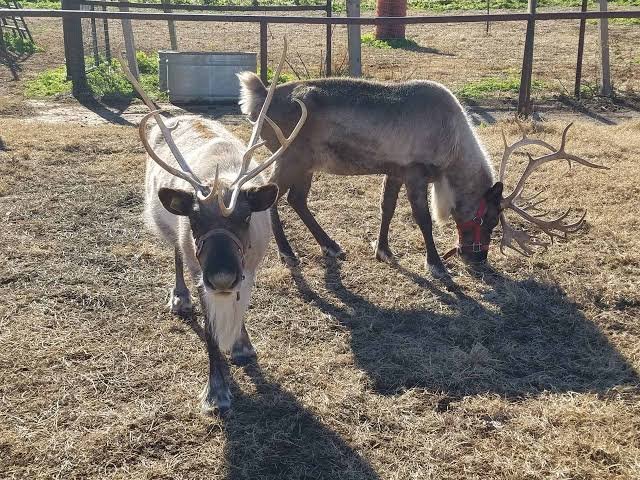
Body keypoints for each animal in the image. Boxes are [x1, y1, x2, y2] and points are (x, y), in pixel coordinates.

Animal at [120, 42, 307, 413]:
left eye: (246, 216)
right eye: (194, 219)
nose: (221, 277)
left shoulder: (249, 266)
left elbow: (241, 310)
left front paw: (242, 346)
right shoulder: (201, 272)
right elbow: (209, 331)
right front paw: (216, 391)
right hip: (170, 234)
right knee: (176, 255)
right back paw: (179, 297)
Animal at [238, 75, 606, 276]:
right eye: (487, 218)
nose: (478, 259)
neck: (452, 145)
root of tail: (258, 97)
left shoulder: (396, 170)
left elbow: (386, 208)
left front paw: (383, 250)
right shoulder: (416, 172)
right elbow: (423, 219)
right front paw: (436, 263)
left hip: (305, 164)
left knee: (296, 199)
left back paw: (332, 246)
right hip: (290, 156)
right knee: (271, 194)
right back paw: (289, 253)